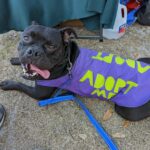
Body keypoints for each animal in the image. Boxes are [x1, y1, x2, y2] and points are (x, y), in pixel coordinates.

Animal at [0, 24, 150, 120]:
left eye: (51, 46)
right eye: (26, 37)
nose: (34, 52)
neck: (67, 62)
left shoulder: (39, 93)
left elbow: (20, 85)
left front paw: (7, 84)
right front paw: (16, 60)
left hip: (125, 109)